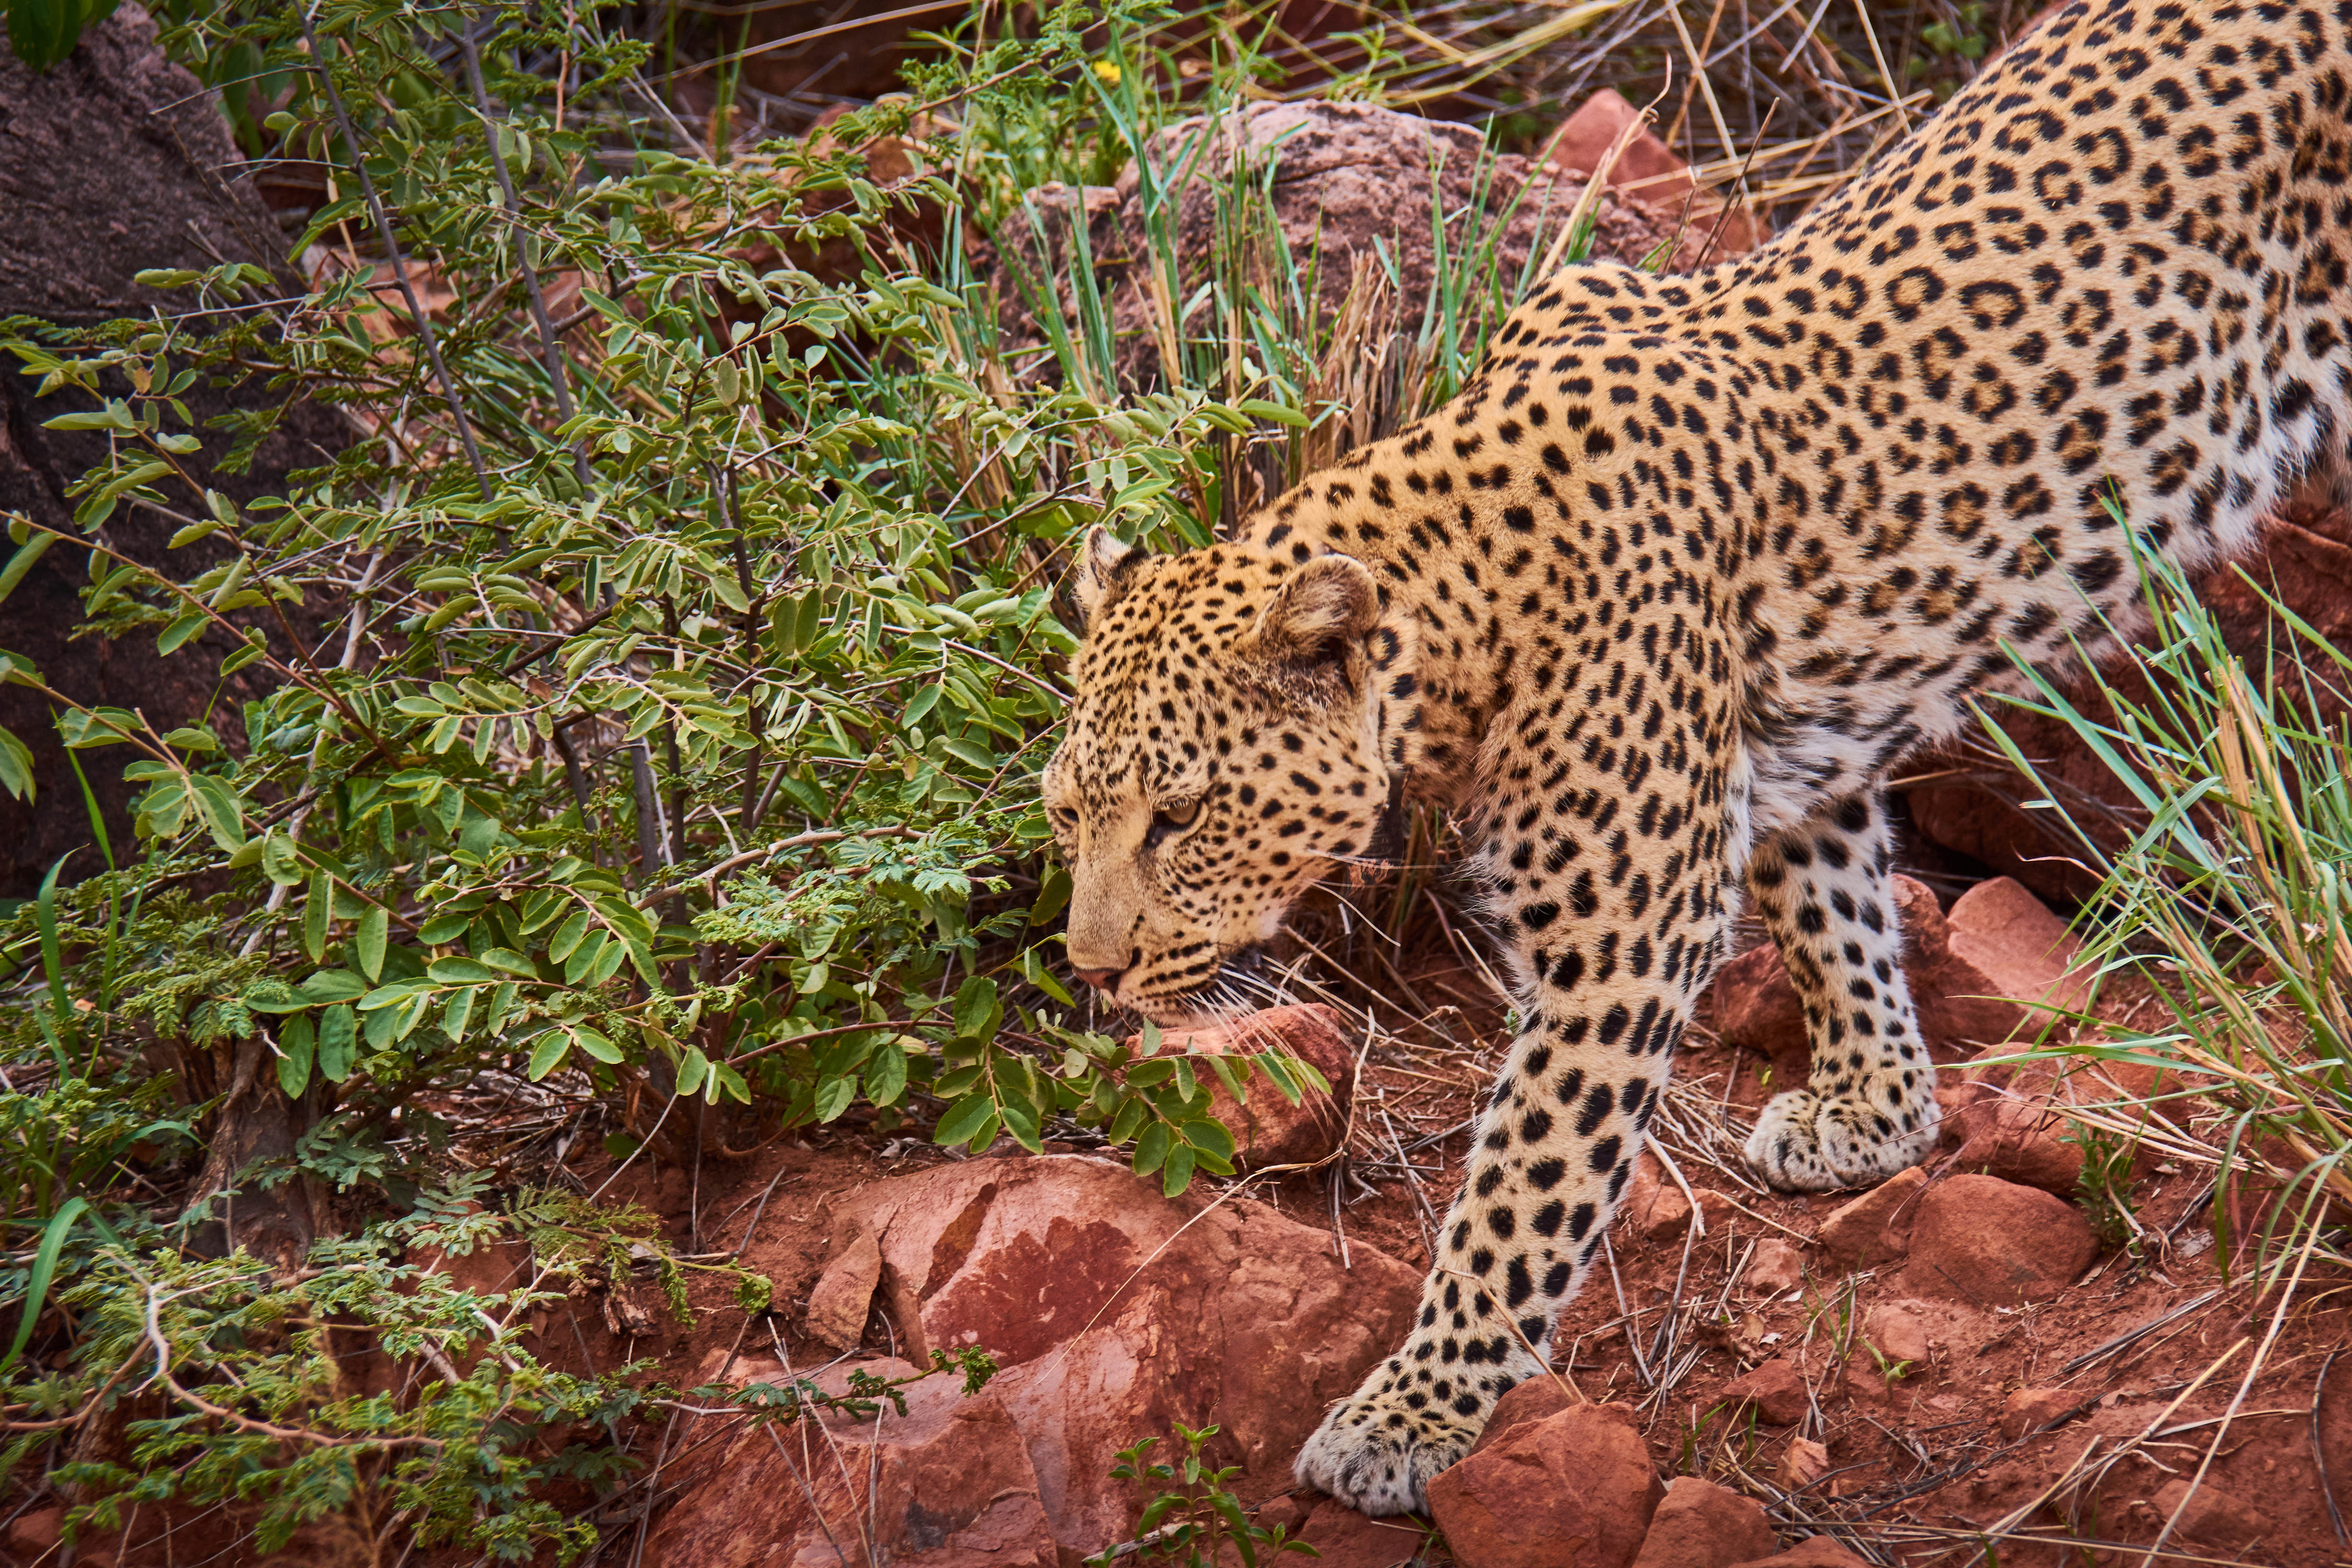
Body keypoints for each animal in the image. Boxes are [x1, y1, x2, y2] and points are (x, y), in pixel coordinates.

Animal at [1044, 0, 2352, 1523]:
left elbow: (1520, 1193)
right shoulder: (1783, 752)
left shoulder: (1625, 941)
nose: (1092, 971)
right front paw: (1875, 1112)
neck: (1460, 592)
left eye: (1180, 816)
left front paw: (1408, 1415)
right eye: (1070, 813)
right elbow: (1836, 913)